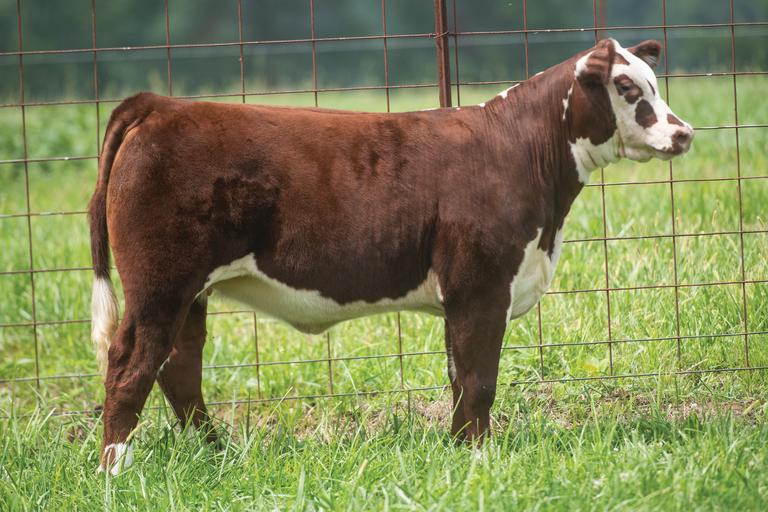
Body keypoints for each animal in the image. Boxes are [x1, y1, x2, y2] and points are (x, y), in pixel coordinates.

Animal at [89, 38, 693, 474]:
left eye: (654, 82)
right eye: (625, 86)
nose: (684, 133)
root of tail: (160, 106)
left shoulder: (463, 295)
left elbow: (459, 376)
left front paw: (459, 452)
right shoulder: (482, 285)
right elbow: (480, 379)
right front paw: (479, 459)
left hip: (191, 292)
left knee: (179, 368)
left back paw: (217, 455)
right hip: (159, 285)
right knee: (130, 366)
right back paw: (114, 473)